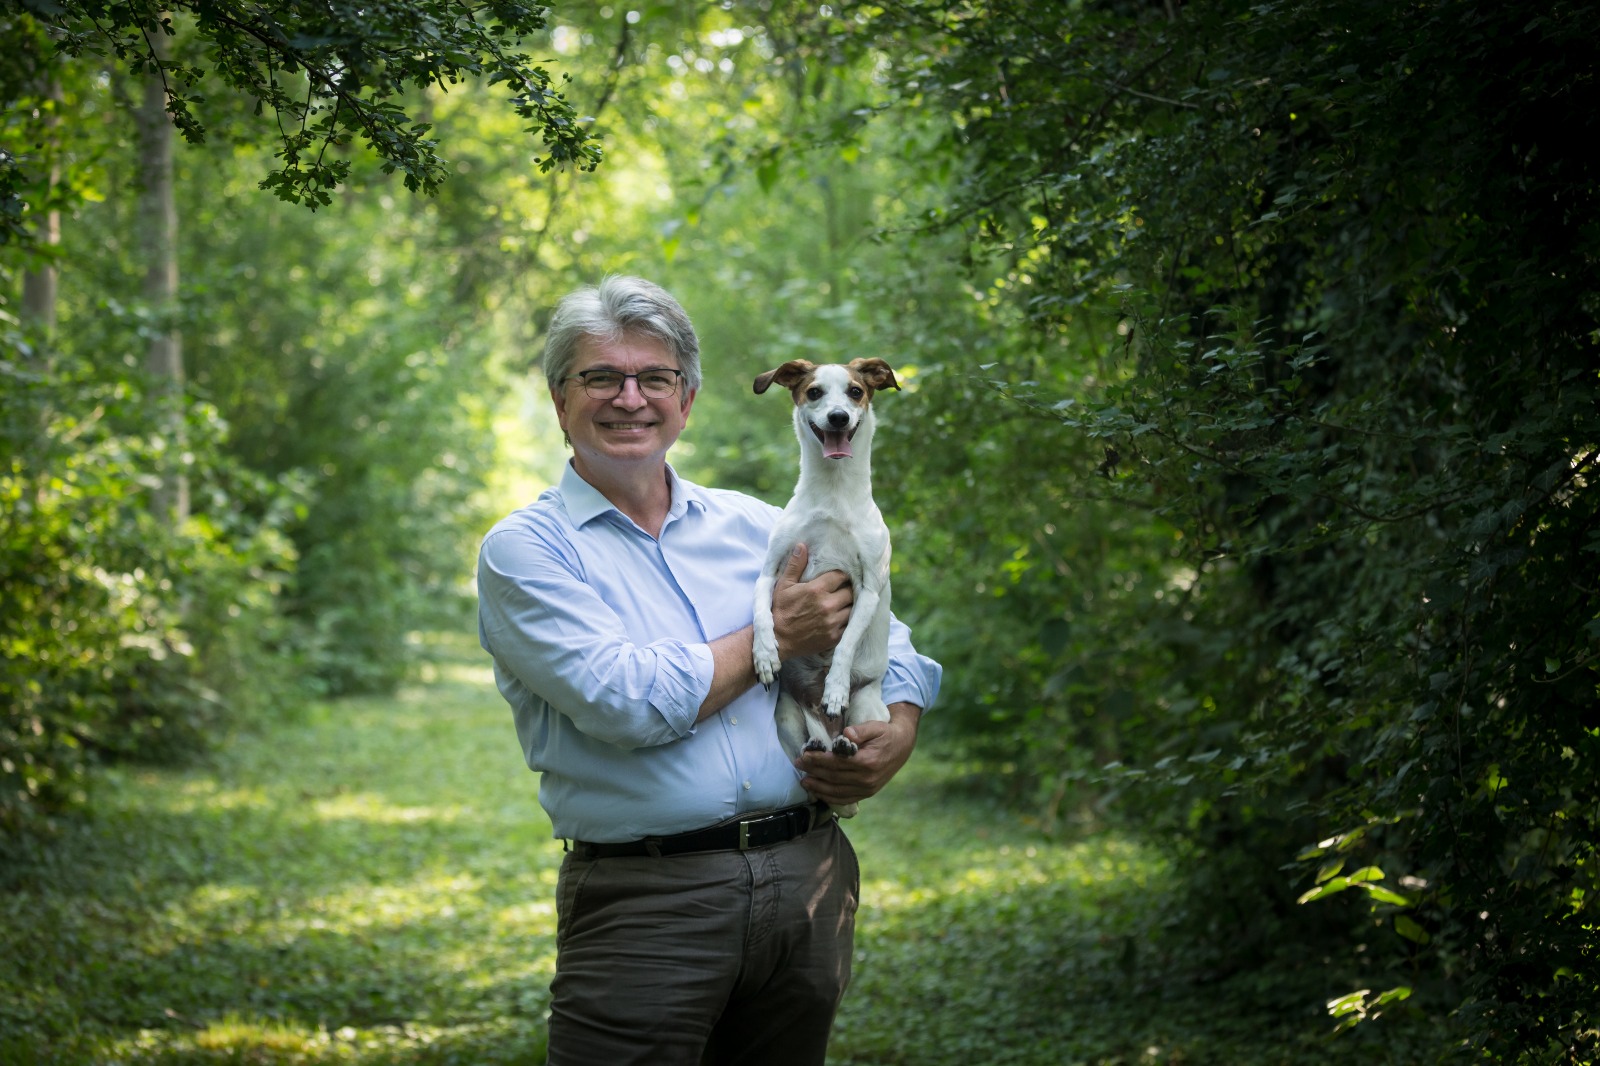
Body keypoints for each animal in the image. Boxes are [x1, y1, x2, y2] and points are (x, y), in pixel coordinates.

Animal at [748, 356, 902, 813]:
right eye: (814, 392)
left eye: (856, 392)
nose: (838, 417)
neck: (833, 497)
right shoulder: (768, 573)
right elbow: (761, 614)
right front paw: (766, 655)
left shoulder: (868, 589)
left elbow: (847, 644)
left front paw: (834, 687)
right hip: (786, 716)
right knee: (806, 754)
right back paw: (817, 745)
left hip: (870, 709)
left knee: (849, 738)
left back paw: (844, 744)